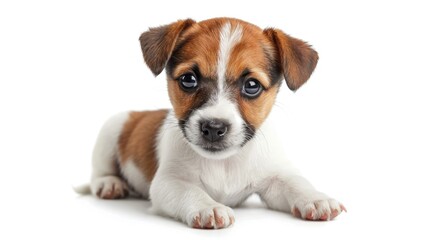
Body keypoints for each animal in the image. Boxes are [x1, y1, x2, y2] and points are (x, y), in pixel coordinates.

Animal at [76, 17, 344, 230]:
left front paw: (315, 198)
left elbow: (295, 183)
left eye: (252, 85)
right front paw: (208, 207)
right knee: (99, 171)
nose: (214, 128)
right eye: (188, 80)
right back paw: (110, 184)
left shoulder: (274, 180)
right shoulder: (168, 183)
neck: (223, 163)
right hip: (111, 129)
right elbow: (190, 191)